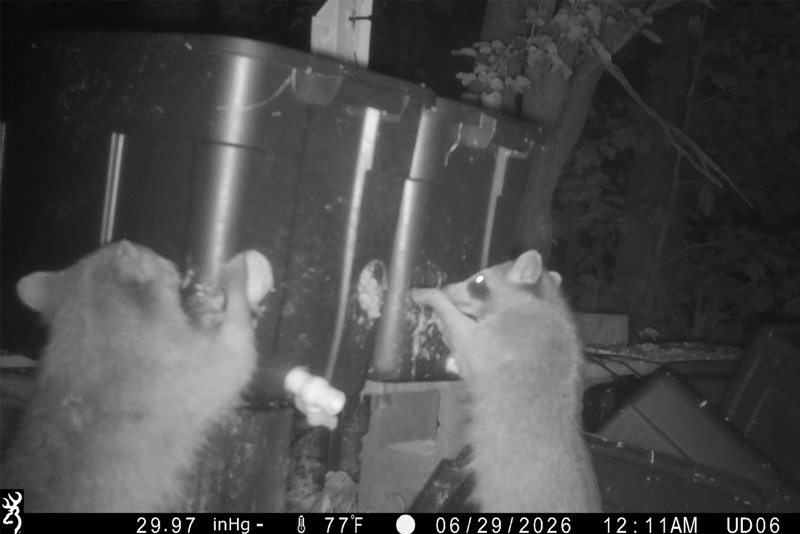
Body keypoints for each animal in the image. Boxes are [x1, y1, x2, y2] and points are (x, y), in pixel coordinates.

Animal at [411, 250, 600, 512]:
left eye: (479, 280)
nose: (447, 287)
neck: (543, 300)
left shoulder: (505, 335)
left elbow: (465, 337)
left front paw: (433, 297)